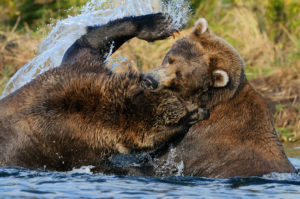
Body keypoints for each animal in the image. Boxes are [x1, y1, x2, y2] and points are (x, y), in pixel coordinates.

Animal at [0, 14, 209, 173]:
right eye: (180, 120)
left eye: (181, 98)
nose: (203, 111)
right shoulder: (71, 147)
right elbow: (106, 166)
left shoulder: (77, 71)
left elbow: (88, 42)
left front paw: (161, 22)